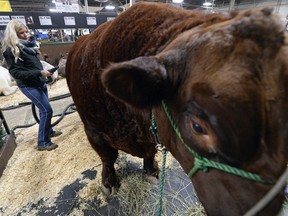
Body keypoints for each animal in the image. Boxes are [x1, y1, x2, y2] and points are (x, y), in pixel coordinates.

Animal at [66, 2, 288, 215]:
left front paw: (151, 170)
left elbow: (149, 153)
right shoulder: (94, 131)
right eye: (197, 127)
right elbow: (108, 156)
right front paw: (109, 181)